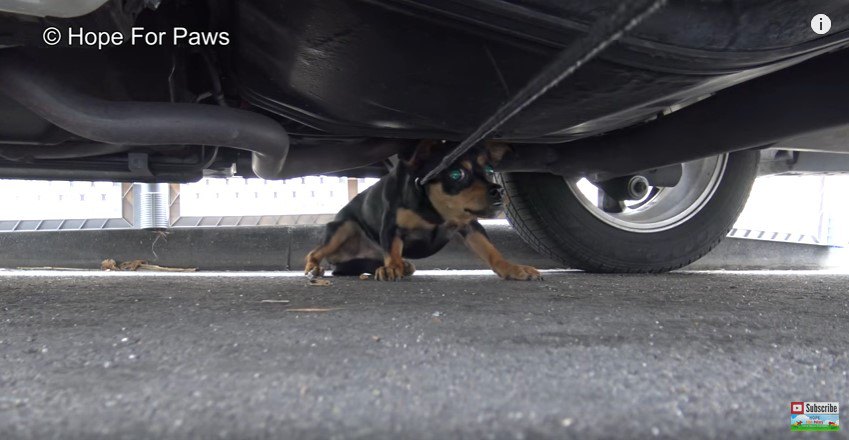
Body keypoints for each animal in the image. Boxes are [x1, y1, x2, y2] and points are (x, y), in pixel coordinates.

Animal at [304, 141, 540, 282]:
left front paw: (512, 268)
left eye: (490, 170)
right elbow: (392, 249)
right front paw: (392, 267)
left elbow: (491, 251)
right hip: (342, 227)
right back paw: (315, 267)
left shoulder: (470, 226)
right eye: (456, 174)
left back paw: (404, 265)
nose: (498, 191)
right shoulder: (391, 226)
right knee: (315, 252)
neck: (433, 209)